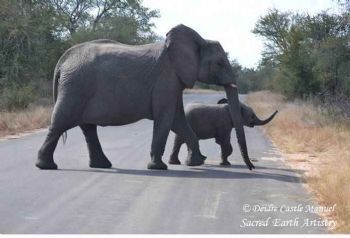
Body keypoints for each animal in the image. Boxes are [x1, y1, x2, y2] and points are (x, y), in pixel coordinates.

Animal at [35, 23, 254, 169]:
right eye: (220, 63)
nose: (251, 167)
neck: (198, 40)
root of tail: (64, 59)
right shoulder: (166, 78)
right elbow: (166, 118)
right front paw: (159, 167)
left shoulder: (173, 81)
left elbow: (178, 119)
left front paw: (196, 162)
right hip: (76, 86)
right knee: (61, 122)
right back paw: (46, 166)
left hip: (78, 87)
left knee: (87, 128)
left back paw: (102, 165)